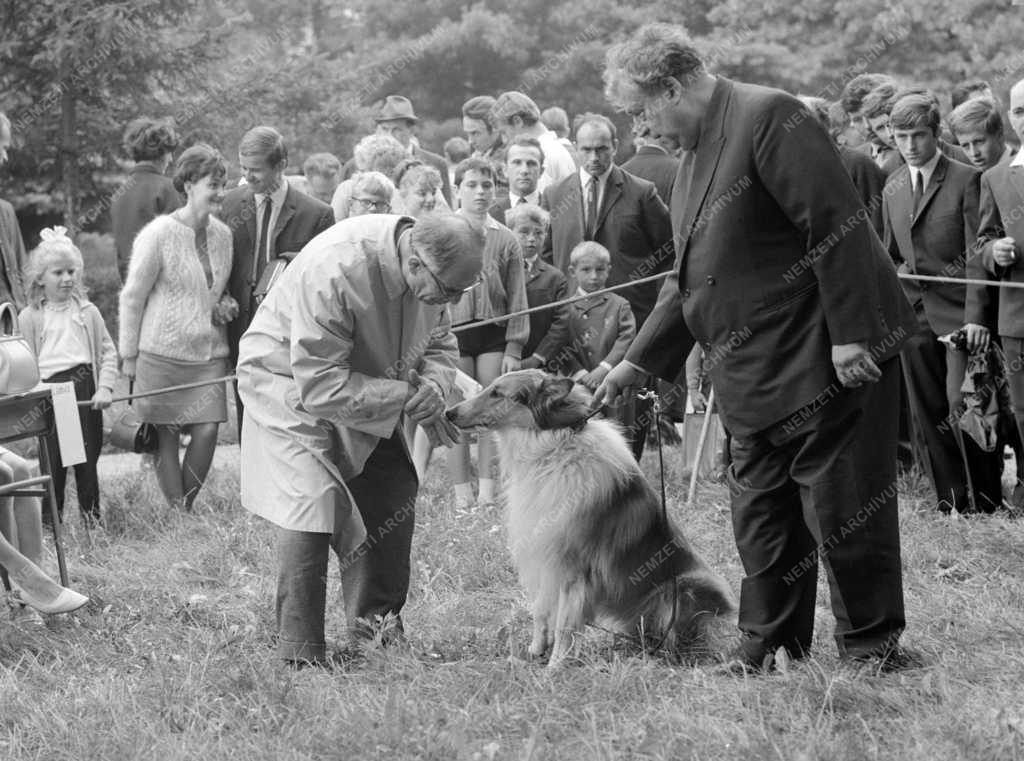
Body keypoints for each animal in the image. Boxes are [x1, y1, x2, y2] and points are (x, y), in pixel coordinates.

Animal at [444, 372, 733, 667]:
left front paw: (555, 666)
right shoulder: (545, 556)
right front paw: (534, 653)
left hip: (683, 588)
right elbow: (540, 611)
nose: (448, 413)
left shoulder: (574, 568)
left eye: (497, 393)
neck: (552, 448)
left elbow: (564, 623)